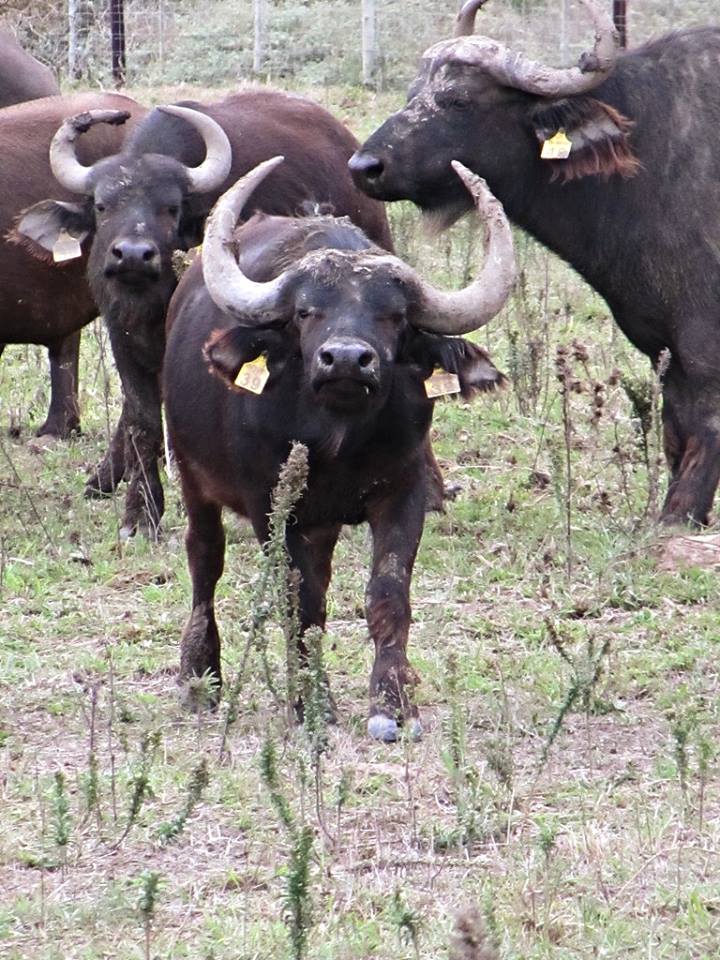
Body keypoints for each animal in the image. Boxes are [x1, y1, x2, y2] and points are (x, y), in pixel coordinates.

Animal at [17, 90, 393, 537]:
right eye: (102, 206)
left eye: (170, 207)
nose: (133, 255)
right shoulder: (121, 335)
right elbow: (142, 417)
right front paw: (140, 512)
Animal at [163, 157, 515, 740]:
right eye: (307, 312)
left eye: (394, 316)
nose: (347, 359)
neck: (337, 444)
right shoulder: (272, 506)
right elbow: (298, 601)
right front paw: (311, 703)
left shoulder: (403, 493)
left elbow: (387, 594)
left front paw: (393, 705)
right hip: (193, 479)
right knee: (205, 561)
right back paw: (199, 678)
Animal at [350, 0, 720, 526]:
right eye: (412, 93)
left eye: (459, 100)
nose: (364, 167)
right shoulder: (662, 345)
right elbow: (676, 425)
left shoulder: (703, 340)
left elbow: (705, 423)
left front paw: (678, 515)